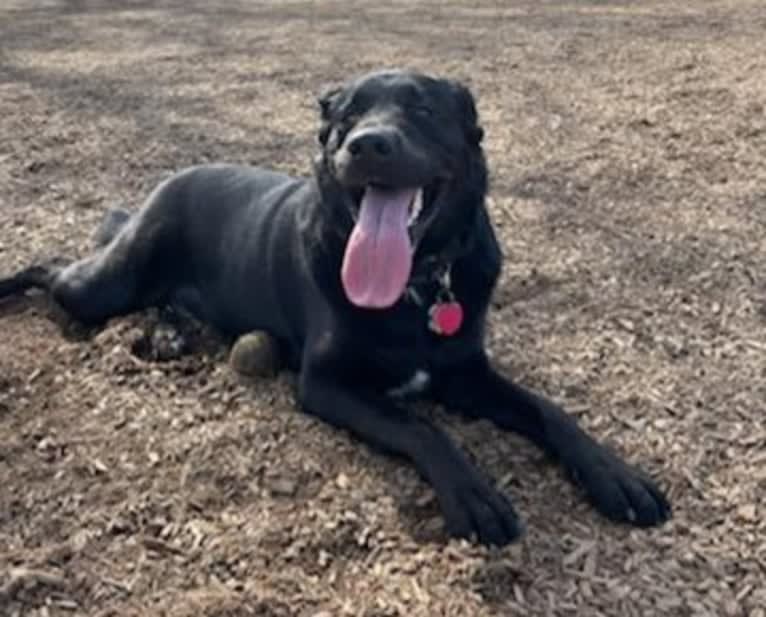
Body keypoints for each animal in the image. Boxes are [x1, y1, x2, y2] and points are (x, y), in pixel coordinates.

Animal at [0, 70, 668, 548]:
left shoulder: (466, 373)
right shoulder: (326, 383)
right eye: (346, 116)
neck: (418, 284)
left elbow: (549, 411)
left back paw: (169, 334)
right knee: (52, 268)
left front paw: (615, 475)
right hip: (104, 285)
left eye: (424, 111)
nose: (367, 144)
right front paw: (473, 494)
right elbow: (420, 426)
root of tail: (165, 183)